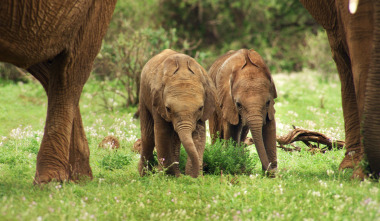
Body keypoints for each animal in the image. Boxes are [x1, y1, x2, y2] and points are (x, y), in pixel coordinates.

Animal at [139, 48, 217, 178]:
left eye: (200, 108)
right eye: (168, 108)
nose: (189, 177)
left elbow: (199, 135)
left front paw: (193, 176)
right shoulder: (158, 103)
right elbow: (162, 133)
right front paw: (169, 176)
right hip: (143, 94)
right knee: (148, 136)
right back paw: (144, 175)